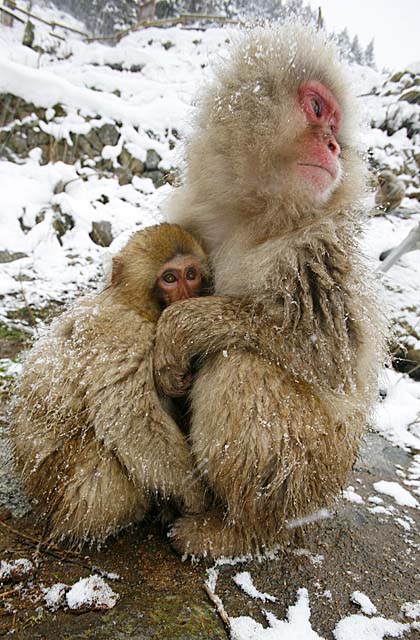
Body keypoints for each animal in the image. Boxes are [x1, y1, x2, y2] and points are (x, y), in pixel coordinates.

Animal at [11, 222, 210, 544]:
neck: (133, 304)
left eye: (190, 274)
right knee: (105, 459)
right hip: (58, 485)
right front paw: (194, 495)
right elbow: (132, 420)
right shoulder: (124, 333)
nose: (185, 295)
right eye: (170, 278)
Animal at [153, 25, 384, 556]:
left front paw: (180, 328)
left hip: (312, 472)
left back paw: (238, 528)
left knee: (240, 367)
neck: (257, 216)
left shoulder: (318, 248)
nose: (334, 145)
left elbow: (329, 354)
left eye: (335, 124)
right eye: (317, 109)